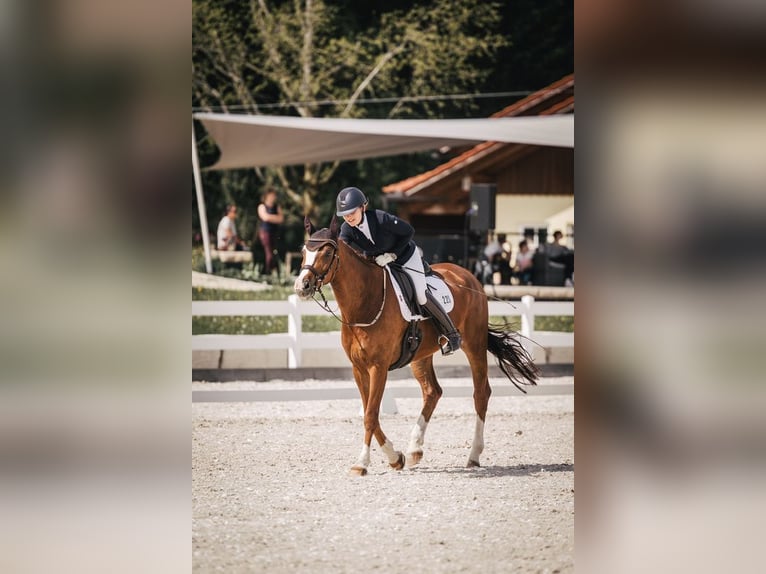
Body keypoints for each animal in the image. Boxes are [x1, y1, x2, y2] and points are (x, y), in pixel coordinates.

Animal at [294, 216, 539, 476]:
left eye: (328, 252)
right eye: (304, 251)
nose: (302, 286)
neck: (365, 302)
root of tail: (468, 276)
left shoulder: (378, 367)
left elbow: (370, 415)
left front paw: (361, 463)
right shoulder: (359, 368)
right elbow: (371, 413)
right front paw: (395, 458)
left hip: (474, 344)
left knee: (481, 393)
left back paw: (473, 455)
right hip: (421, 355)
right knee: (432, 392)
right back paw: (414, 449)